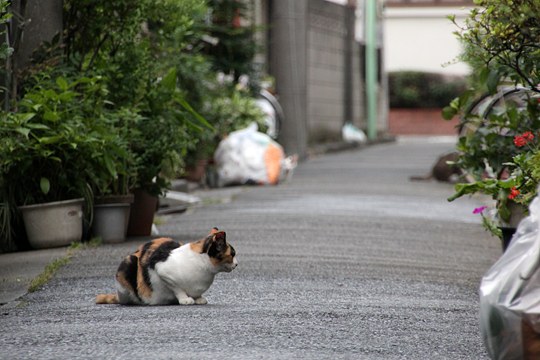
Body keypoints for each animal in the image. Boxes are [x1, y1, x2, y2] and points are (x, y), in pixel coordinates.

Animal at [94, 228, 236, 304]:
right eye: (232, 254)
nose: (236, 264)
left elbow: (196, 294)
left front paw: (198, 298)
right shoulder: (162, 270)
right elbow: (177, 288)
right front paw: (185, 299)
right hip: (128, 263)